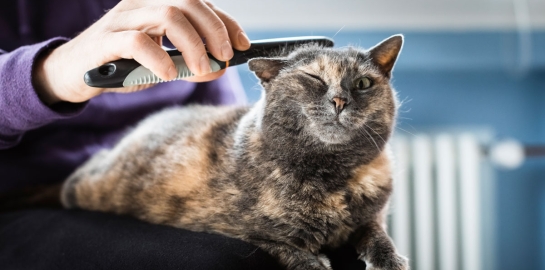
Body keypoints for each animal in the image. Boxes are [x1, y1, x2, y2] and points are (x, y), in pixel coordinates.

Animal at [59, 34, 408, 268]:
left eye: (363, 83)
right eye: (313, 77)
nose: (339, 100)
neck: (332, 176)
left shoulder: (372, 217)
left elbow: (379, 237)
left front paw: (391, 260)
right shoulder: (243, 232)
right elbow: (290, 250)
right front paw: (316, 262)